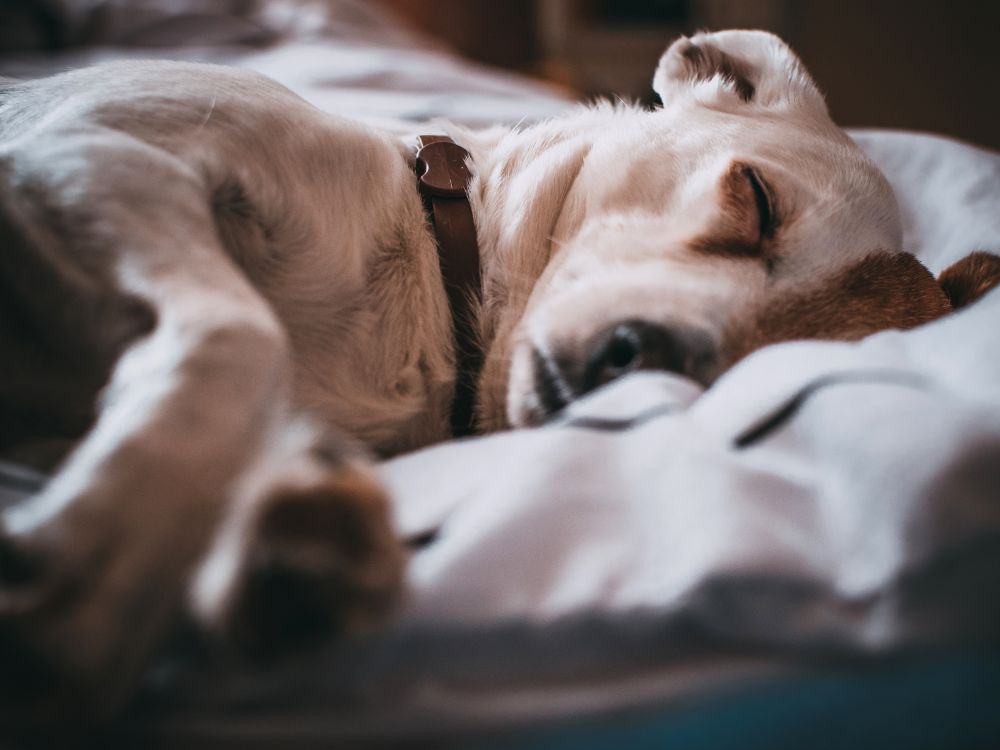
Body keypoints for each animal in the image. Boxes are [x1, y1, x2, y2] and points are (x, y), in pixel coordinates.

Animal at [1, 32, 1000, 720]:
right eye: (754, 200)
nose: (640, 358)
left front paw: (285, 543)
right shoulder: (86, 156)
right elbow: (240, 336)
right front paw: (105, 568)